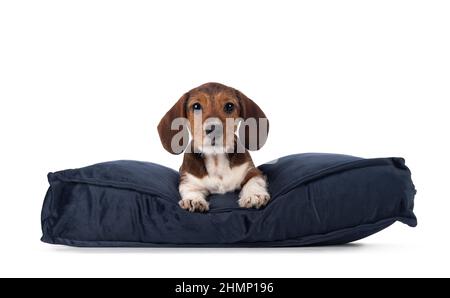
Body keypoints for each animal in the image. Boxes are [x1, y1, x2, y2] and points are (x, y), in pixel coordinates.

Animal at [158, 81, 270, 212]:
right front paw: (193, 200)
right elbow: (190, 189)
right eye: (196, 106)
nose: (213, 129)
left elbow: (254, 182)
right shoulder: (187, 179)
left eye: (229, 106)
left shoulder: (252, 171)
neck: (216, 158)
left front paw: (254, 195)